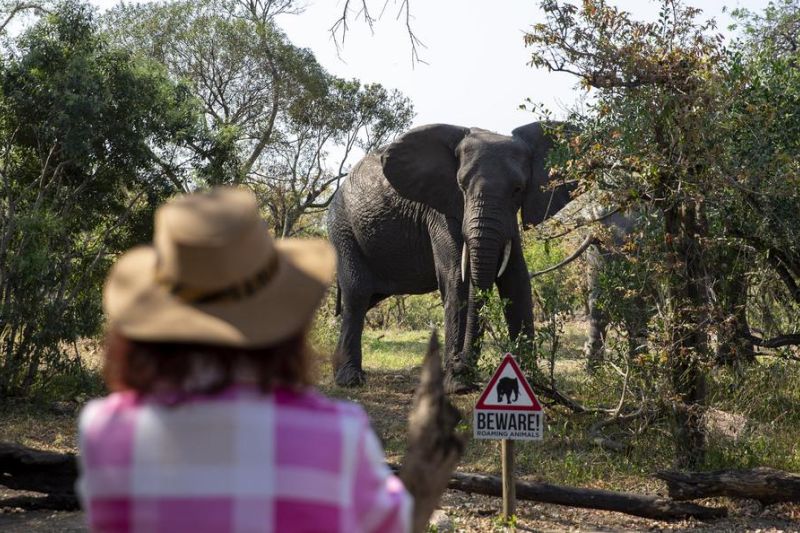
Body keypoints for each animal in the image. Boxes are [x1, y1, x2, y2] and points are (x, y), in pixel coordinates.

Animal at [328, 123, 580, 390]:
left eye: (518, 190)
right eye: (462, 187)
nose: (461, 364)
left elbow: (516, 280)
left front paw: (532, 381)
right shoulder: (438, 210)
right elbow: (457, 279)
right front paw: (458, 385)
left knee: (366, 299)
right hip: (342, 228)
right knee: (357, 294)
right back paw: (349, 380)